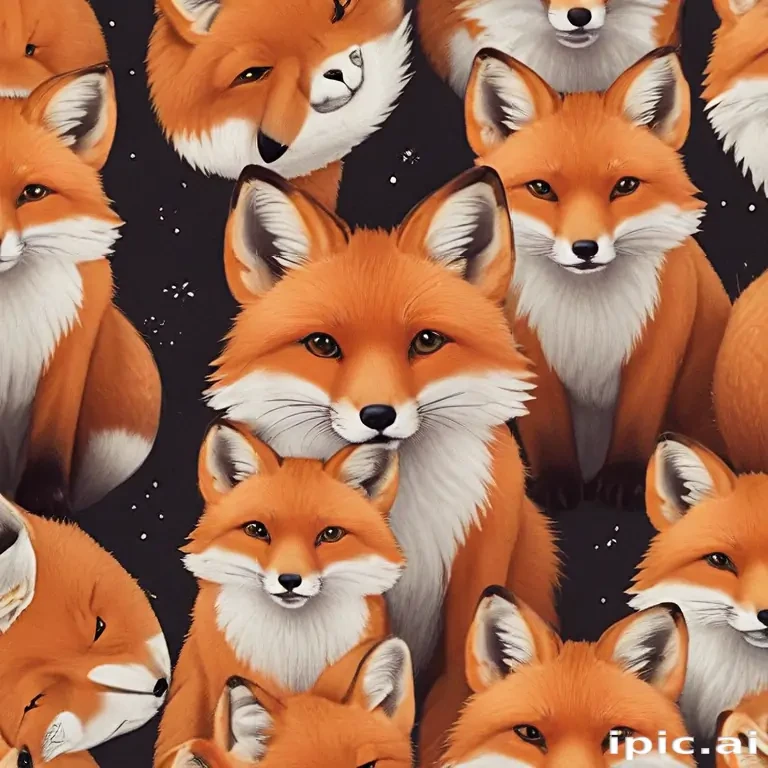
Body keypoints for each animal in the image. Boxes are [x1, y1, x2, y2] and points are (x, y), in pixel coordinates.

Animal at [462, 46, 731, 511]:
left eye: (624, 186)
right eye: (542, 189)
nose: (585, 249)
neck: (588, 314)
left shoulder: (657, 343)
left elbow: (636, 419)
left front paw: (624, 479)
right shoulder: (530, 348)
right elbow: (548, 428)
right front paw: (556, 484)